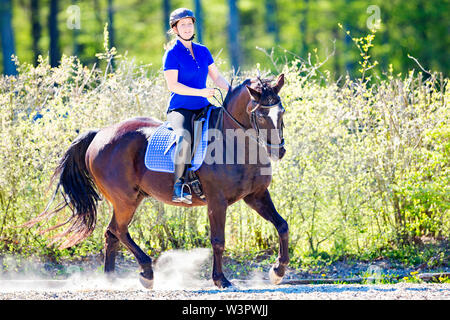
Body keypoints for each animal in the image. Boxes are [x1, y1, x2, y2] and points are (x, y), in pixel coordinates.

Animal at [24, 74, 290, 288]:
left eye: (282, 112)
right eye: (260, 115)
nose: (278, 152)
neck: (236, 145)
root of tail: (100, 133)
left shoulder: (256, 196)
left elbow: (282, 225)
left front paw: (278, 271)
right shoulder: (217, 202)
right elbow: (218, 241)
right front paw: (220, 280)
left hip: (130, 199)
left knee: (112, 234)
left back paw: (111, 278)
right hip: (125, 200)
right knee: (118, 230)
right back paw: (147, 273)